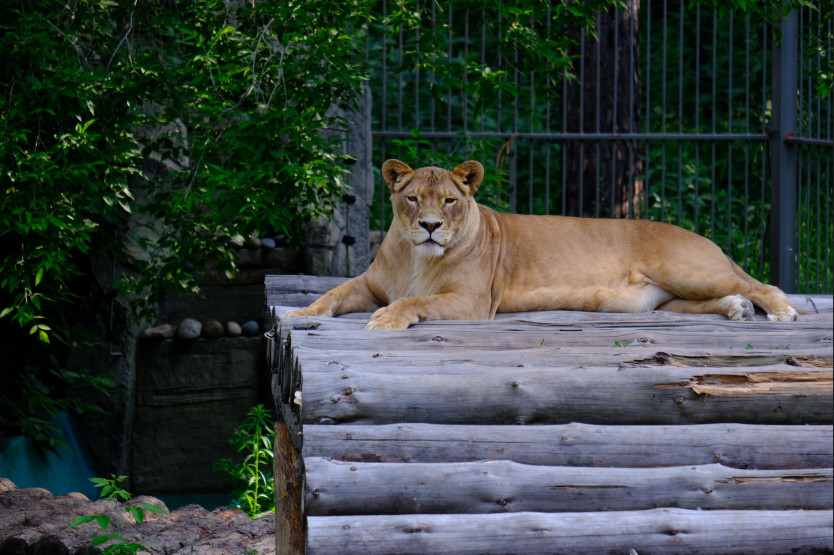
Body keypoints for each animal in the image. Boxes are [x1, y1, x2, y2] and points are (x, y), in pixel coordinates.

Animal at [281, 159, 800, 330]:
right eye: (412, 199)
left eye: (449, 201)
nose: (429, 226)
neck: (417, 257)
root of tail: (702, 236)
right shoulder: (369, 285)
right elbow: (331, 293)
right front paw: (300, 313)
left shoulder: (471, 302)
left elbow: (415, 301)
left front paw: (389, 319)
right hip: (663, 299)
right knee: (720, 296)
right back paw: (736, 310)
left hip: (687, 270)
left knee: (757, 283)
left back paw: (781, 311)